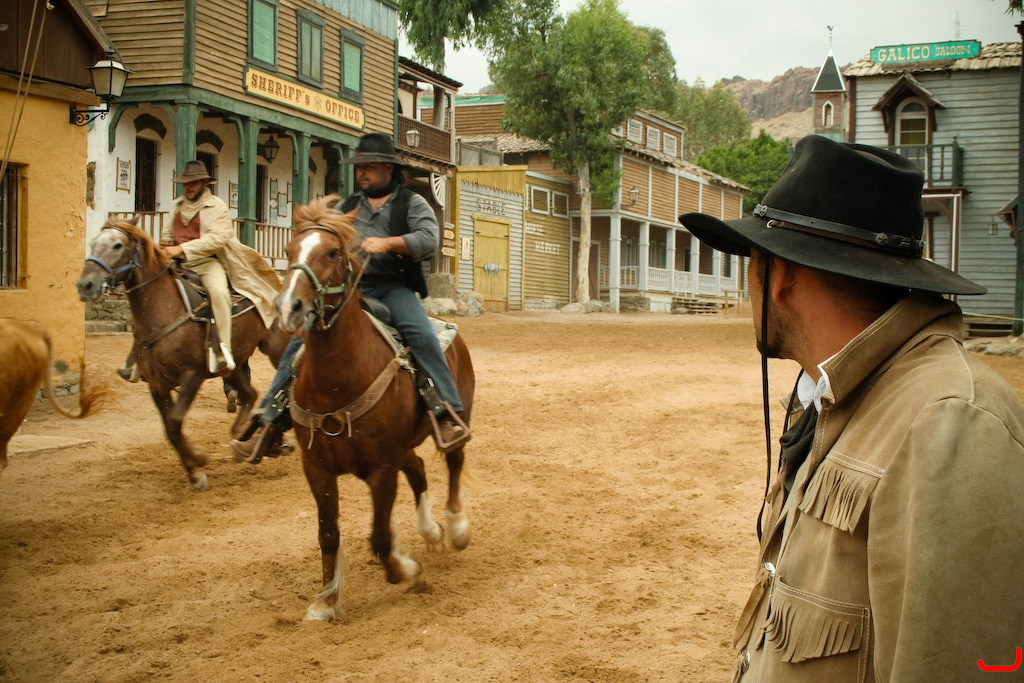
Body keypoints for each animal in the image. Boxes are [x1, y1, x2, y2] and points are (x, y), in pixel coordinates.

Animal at [75, 219, 291, 491]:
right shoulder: (157, 383)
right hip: (231, 365)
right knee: (250, 394)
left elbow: (176, 421)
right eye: (93, 242)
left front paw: (198, 460)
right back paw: (242, 435)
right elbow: (170, 428)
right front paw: (195, 471)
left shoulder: (192, 376)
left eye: (117, 245)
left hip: (277, 350)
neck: (165, 311)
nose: (85, 285)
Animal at [277, 196, 475, 621]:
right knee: (418, 469)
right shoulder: (316, 468)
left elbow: (380, 537)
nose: (289, 307)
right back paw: (431, 532)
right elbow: (328, 533)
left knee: (453, 463)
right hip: (403, 445)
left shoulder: (382, 468)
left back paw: (455, 528)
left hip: (458, 418)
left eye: (332, 252)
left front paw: (406, 569)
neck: (336, 382)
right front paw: (325, 601)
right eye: (288, 250)